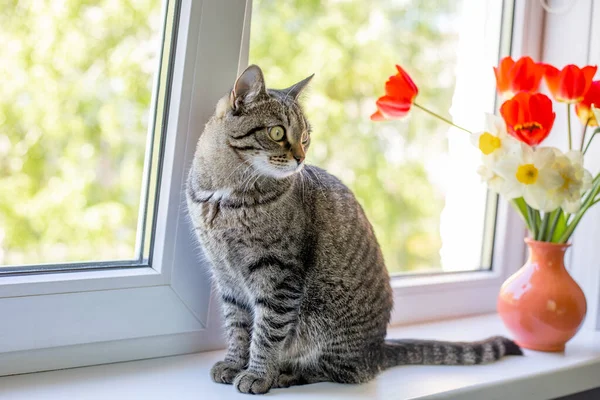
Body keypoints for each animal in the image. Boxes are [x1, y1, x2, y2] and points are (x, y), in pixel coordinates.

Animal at [186, 65, 520, 394]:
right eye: (277, 132)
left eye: (305, 137)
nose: (301, 158)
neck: (224, 197)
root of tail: (377, 350)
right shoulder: (226, 277)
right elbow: (238, 327)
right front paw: (233, 363)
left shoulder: (279, 275)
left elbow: (267, 332)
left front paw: (258, 374)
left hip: (327, 324)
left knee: (340, 370)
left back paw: (287, 373)